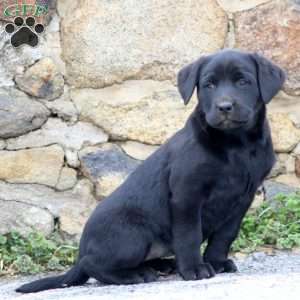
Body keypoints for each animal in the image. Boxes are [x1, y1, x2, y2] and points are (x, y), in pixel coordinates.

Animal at [17, 49, 284, 292]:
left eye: (243, 81)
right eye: (209, 85)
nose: (224, 106)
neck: (236, 144)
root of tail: (82, 251)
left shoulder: (242, 198)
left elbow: (224, 235)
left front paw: (216, 262)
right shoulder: (186, 195)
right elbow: (189, 235)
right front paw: (194, 269)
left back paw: (162, 265)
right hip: (134, 233)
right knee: (92, 265)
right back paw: (136, 274)